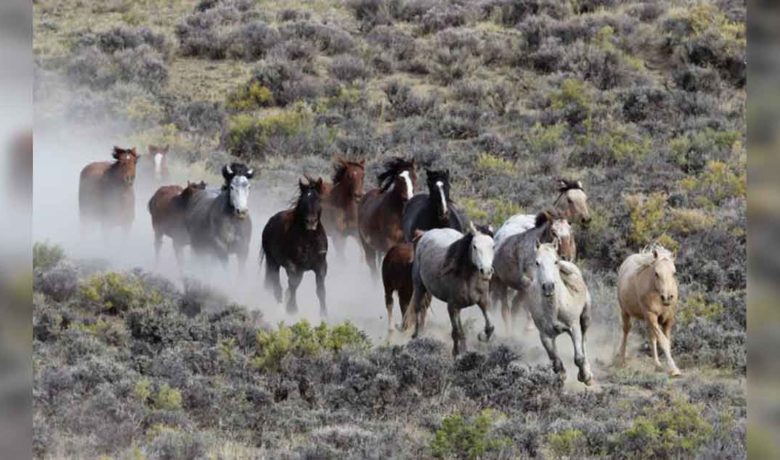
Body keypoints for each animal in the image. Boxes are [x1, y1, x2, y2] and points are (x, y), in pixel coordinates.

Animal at [261, 177, 328, 317]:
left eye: (319, 199)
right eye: (303, 201)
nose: (311, 222)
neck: (309, 240)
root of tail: (270, 222)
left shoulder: (321, 266)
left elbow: (320, 290)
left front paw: (324, 315)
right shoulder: (292, 265)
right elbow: (293, 284)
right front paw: (292, 309)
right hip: (272, 262)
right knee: (277, 284)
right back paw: (280, 307)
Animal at [402, 223, 495, 356]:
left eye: (493, 246)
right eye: (475, 246)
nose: (486, 272)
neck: (468, 278)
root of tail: (425, 234)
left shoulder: (483, 301)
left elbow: (490, 327)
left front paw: (481, 337)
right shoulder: (452, 306)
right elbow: (455, 332)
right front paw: (456, 354)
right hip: (420, 287)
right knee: (418, 310)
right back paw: (416, 337)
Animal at [524, 241, 593, 385]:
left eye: (555, 261)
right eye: (537, 262)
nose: (548, 287)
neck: (555, 309)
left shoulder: (574, 327)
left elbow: (579, 357)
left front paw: (584, 376)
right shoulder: (545, 336)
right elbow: (555, 360)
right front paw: (561, 375)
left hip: (586, 317)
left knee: (584, 341)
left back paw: (588, 373)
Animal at [617, 244, 681, 376]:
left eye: (674, 273)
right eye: (656, 273)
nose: (667, 297)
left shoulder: (668, 318)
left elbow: (665, 340)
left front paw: (665, 365)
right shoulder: (651, 315)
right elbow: (663, 341)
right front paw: (674, 369)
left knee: (652, 336)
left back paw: (657, 364)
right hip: (625, 312)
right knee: (626, 331)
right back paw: (622, 360)